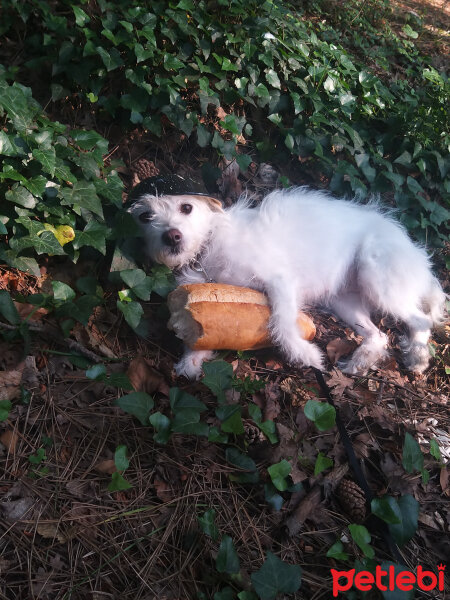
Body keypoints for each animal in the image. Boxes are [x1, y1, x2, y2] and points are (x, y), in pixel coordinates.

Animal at [128, 186, 444, 380]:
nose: (171, 236)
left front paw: (304, 353)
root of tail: (416, 252)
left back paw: (417, 358)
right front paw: (192, 359)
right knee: (378, 335)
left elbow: (282, 322)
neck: (208, 248)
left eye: (186, 207)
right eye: (145, 216)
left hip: (377, 277)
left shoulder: (281, 281)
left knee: (420, 320)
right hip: (345, 302)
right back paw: (360, 361)